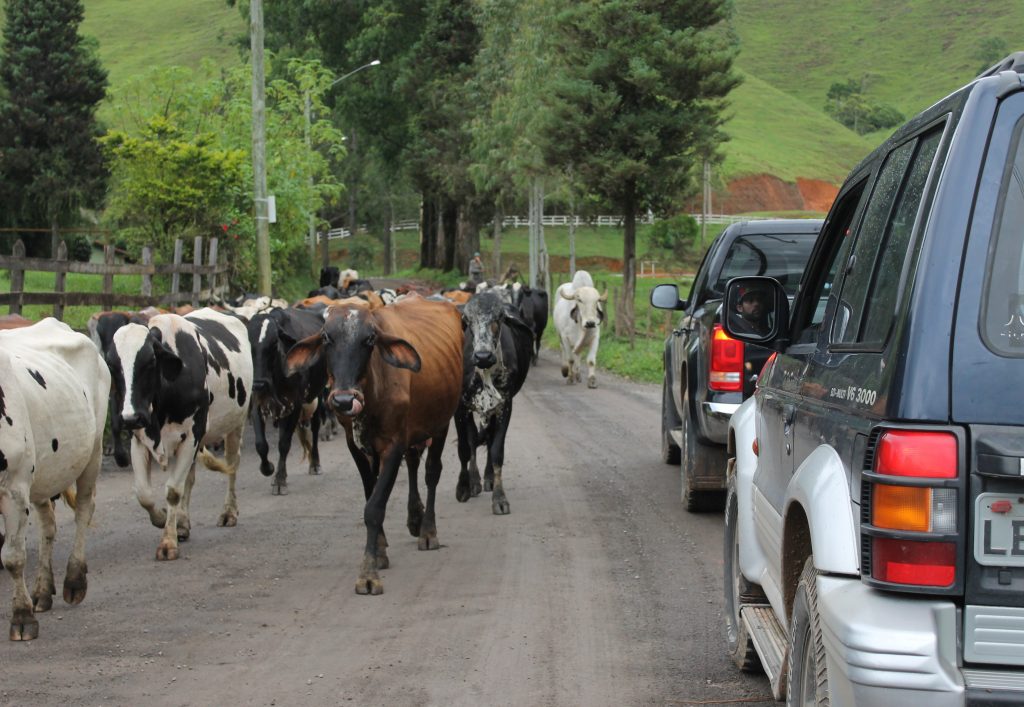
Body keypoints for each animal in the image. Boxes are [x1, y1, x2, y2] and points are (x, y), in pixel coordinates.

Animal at [0, 319, 110, 639]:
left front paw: (21, 617)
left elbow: (13, 556)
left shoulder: (14, 487)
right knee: (48, 527)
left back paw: (74, 580)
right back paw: (42, 591)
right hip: (45, 474)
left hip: (93, 451)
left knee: (84, 509)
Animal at [247, 305, 327, 493]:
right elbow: (261, 444)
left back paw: (315, 464)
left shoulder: (295, 405)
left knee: (315, 428)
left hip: (317, 395)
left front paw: (280, 480)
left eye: (274, 343)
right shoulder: (258, 405)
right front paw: (267, 468)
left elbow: (284, 443)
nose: (259, 384)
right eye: (250, 343)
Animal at [288, 295, 464, 590]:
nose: (344, 400)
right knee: (414, 462)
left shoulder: (393, 446)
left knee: (431, 473)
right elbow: (370, 494)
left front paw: (368, 573)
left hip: (441, 423)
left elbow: (374, 507)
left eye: (369, 339)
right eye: (326, 337)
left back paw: (427, 531)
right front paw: (380, 550)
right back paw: (414, 518)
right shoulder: (357, 447)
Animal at [456, 286, 536, 512]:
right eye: (468, 319)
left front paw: (500, 498)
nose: (483, 356)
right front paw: (464, 487)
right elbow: (465, 448)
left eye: (499, 318)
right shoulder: (460, 407)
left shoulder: (504, 407)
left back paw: (488, 478)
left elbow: (497, 450)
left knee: (489, 439)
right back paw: (474, 481)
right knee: (472, 439)